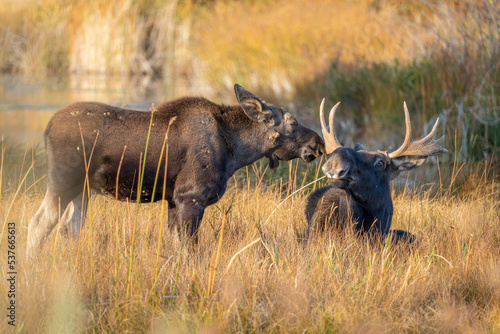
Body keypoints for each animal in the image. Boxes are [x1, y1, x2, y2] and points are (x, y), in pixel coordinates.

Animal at [28, 84, 324, 256]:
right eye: (292, 122)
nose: (318, 143)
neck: (236, 152)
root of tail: (46, 130)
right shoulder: (190, 197)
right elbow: (188, 252)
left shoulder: (173, 201)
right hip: (63, 181)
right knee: (39, 223)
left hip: (84, 189)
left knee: (70, 227)